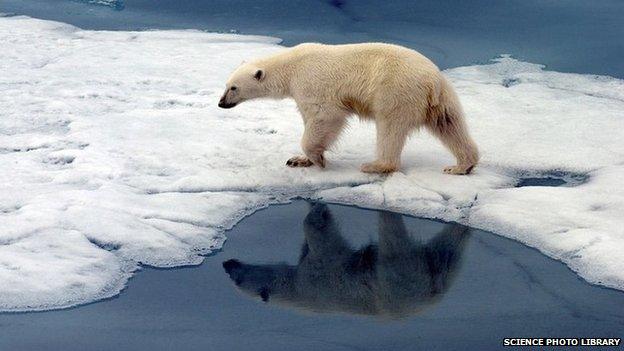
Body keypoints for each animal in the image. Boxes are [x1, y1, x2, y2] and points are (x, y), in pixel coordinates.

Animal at [219, 42, 478, 175]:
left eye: (233, 88)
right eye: (226, 85)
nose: (221, 103)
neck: (292, 66)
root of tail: (432, 80)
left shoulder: (312, 83)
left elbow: (325, 116)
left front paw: (318, 159)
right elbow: (309, 118)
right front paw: (298, 160)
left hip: (396, 92)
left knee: (390, 127)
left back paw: (375, 165)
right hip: (442, 99)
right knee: (450, 124)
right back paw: (461, 165)